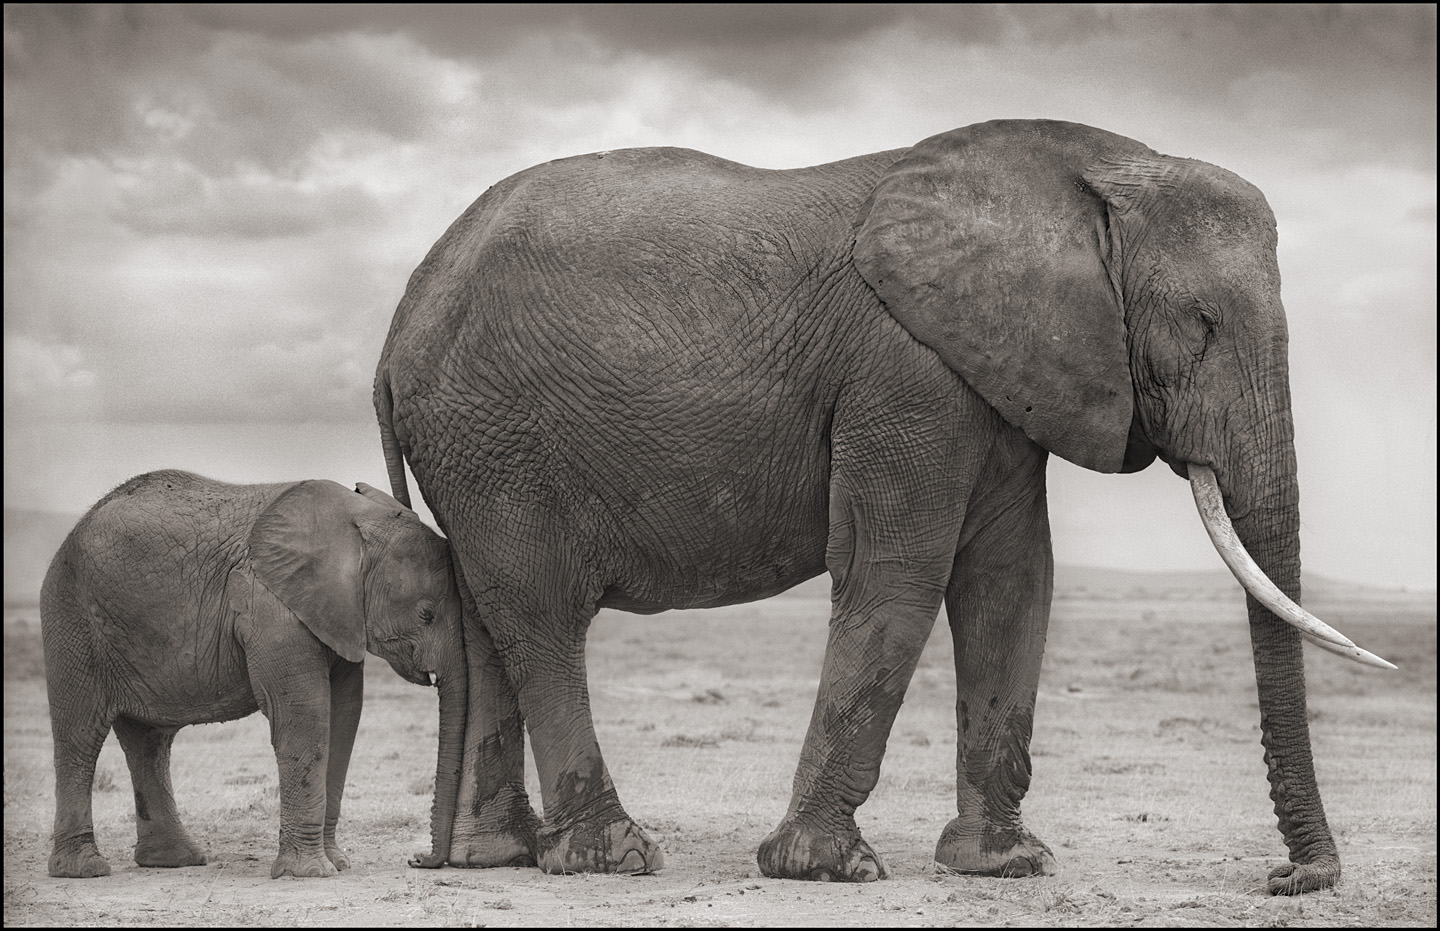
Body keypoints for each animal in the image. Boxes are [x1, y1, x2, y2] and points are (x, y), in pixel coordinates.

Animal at [43, 474, 466, 880]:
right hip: (71, 616)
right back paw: (84, 869)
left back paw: (174, 861)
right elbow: (303, 718)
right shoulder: (269, 605)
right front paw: (309, 873)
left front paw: (336, 863)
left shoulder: (340, 617)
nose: (417, 859)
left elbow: (343, 719)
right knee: (79, 735)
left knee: (149, 743)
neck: (356, 520)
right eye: (426, 614)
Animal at [377, 118, 1388, 897]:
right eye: (1201, 325)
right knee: (541, 616)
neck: (1090, 168)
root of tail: (397, 326)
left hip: (474, 449)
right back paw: (613, 857)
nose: (1288, 878)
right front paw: (827, 870)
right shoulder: (907, 374)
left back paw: (499, 856)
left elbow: (1012, 585)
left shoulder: (993, 379)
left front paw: (1004, 866)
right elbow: (897, 576)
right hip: (496, 440)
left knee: (485, 620)